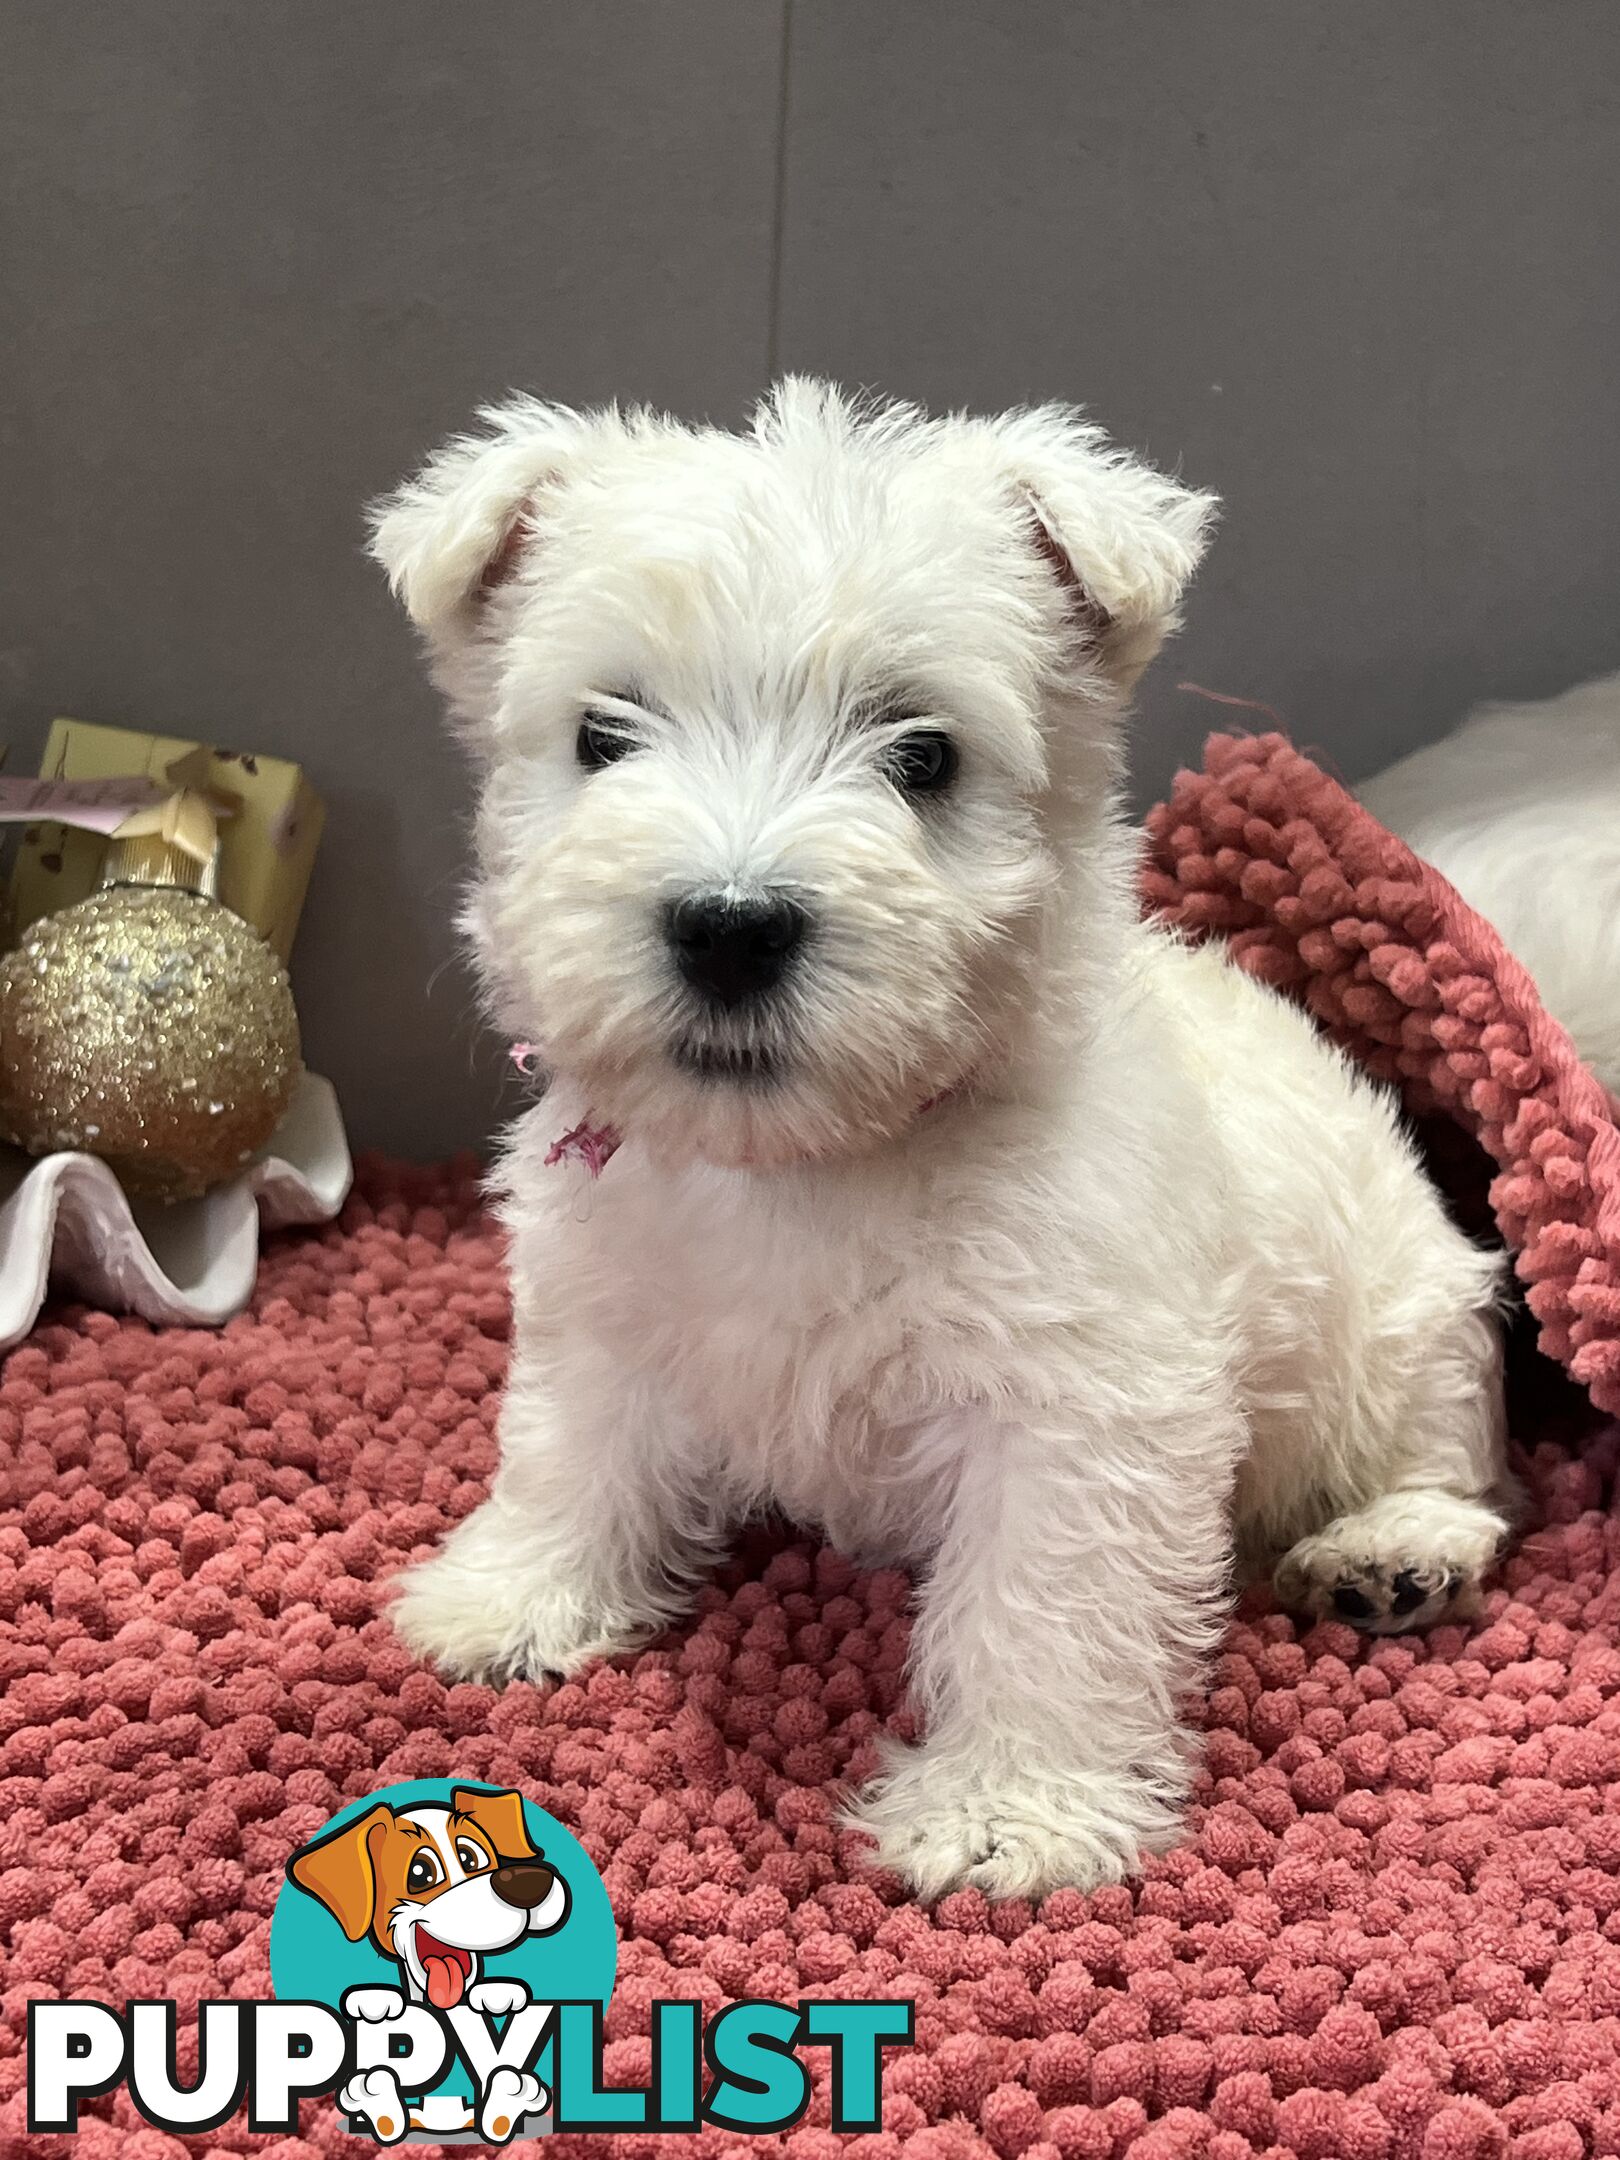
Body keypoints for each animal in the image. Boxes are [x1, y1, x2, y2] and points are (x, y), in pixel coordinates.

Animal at [373, 384, 1520, 1892]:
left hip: (1399, 1324)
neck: (815, 1157)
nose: (729, 925)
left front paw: (1008, 1806)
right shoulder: (608, 1300)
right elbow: (572, 1449)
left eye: (924, 754)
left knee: (1447, 1456)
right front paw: (518, 1595)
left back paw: (1393, 1551)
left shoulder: (1083, 1403)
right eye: (602, 735)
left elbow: (1043, 1602)